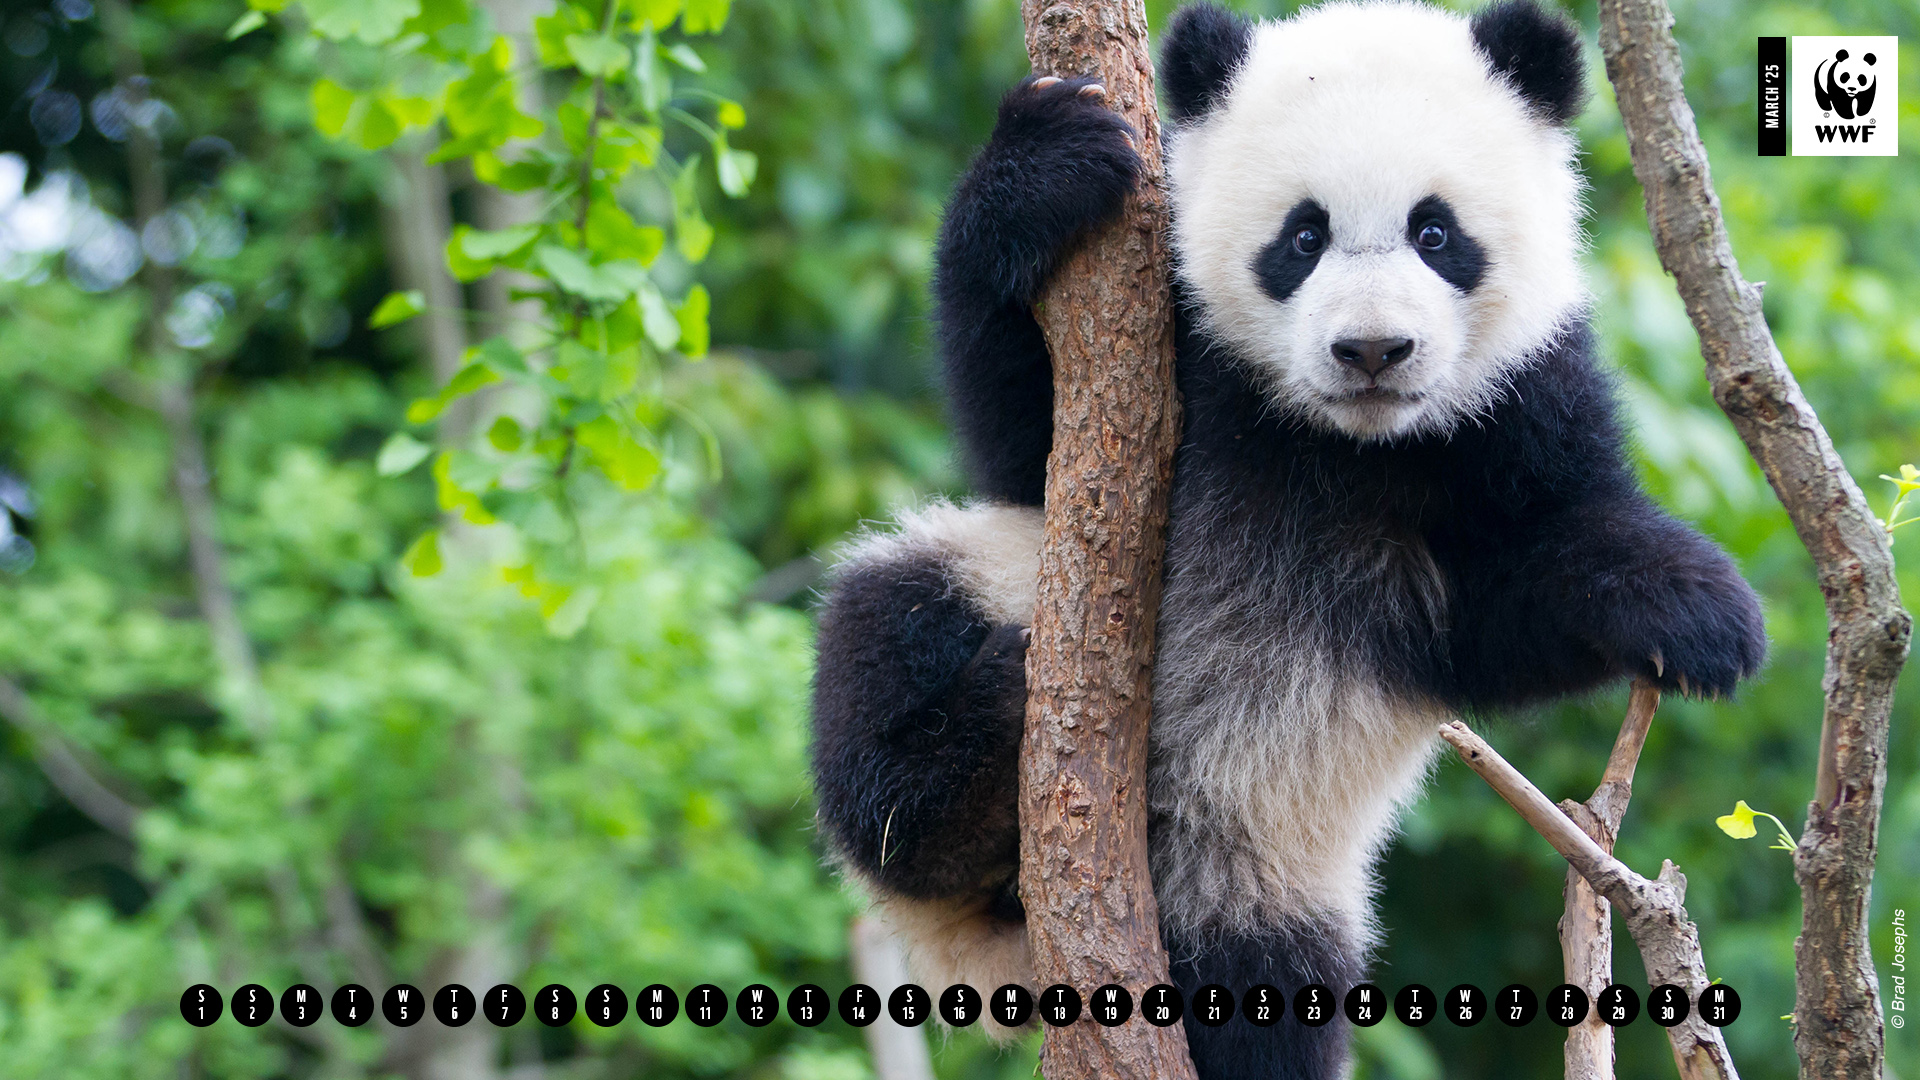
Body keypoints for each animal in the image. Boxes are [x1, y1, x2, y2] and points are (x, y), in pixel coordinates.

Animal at [802, 4, 1758, 1068]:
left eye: (1436, 232)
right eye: (1304, 236)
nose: (1373, 351)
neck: (1343, 442)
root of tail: (996, 940)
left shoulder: (1520, 405)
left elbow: (1513, 601)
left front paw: (1695, 612)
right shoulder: (1172, 350)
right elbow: (1019, 433)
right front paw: (1048, 158)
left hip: (1254, 878)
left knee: (1264, 998)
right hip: (984, 578)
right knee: (881, 656)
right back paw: (970, 754)